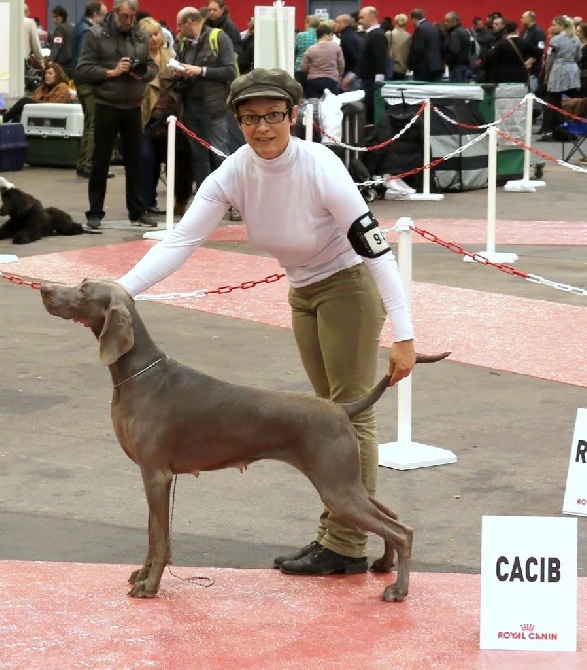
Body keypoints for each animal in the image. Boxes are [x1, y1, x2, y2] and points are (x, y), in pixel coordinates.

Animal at [41, 278, 450, 604]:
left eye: (83, 290)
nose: (44, 288)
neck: (138, 373)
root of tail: (341, 408)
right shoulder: (154, 477)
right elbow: (155, 534)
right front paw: (142, 575)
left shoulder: (156, 474)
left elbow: (158, 538)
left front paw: (150, 586)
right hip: (344, 481)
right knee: (392, 517)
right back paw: (384, 565)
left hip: (337, 486)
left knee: (401, 531)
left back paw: (398, 590)